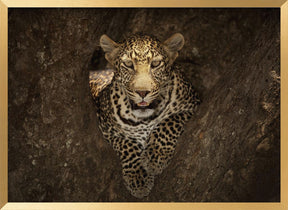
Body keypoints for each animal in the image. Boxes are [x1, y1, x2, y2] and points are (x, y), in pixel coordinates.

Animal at [89, 33, 200, 199]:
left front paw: (155, 157)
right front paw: (138, 178)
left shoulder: (193, 105)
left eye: (155, 64)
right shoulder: (106, 127)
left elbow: (169, 121)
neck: (144, 119)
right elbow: (126, 145)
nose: (142, 92)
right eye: (128, 64)